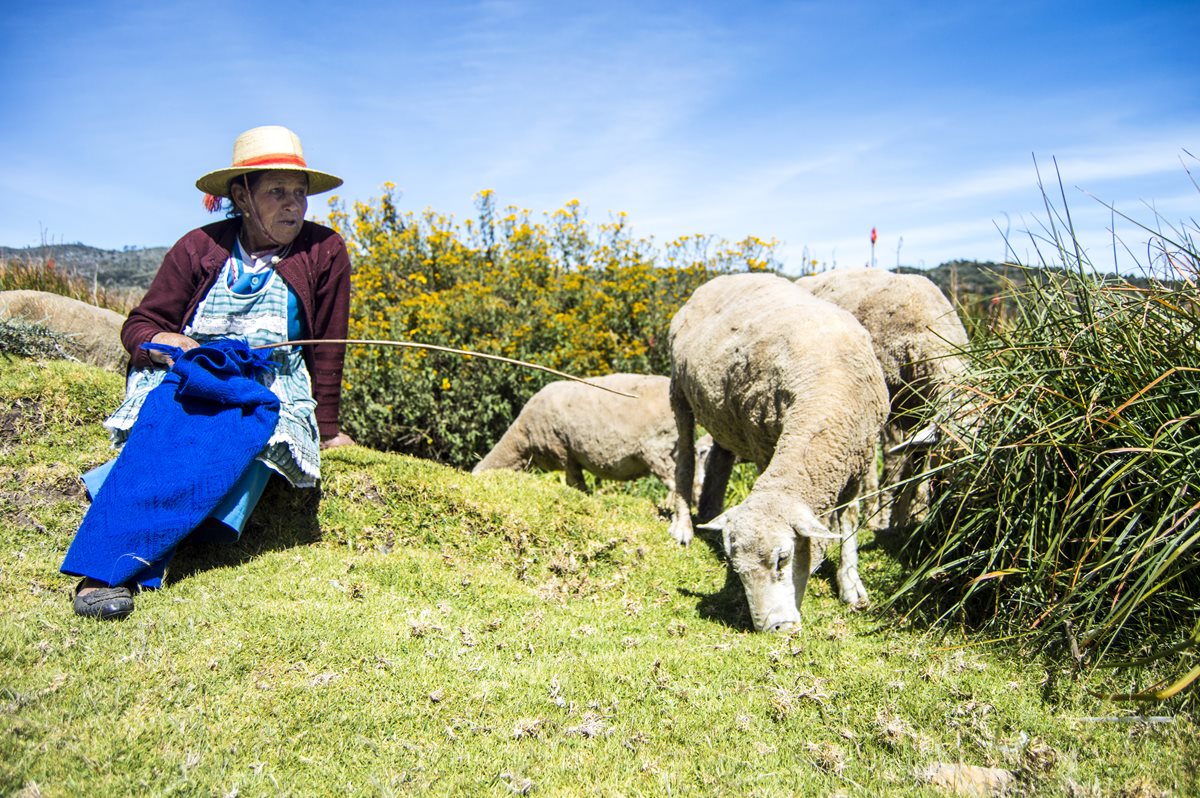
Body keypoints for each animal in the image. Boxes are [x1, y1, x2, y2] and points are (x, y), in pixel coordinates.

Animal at [667, 271, 892, 633]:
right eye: (737, 569)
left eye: (782, 558)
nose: (773, 627)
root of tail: (718, 280)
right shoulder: (763, 442)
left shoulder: (859, 462)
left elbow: (849, 523)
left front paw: (851, 586)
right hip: (679, 392)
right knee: (685, 458)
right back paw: (684, 526)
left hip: (723, 413)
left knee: (718, 461)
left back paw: (710, 513)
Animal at [792, 268, 969, 528]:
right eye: (952, 453)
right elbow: (893, 465)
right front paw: (885, 519)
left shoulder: (920, 416)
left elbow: (916, 466)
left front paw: (910, 516)